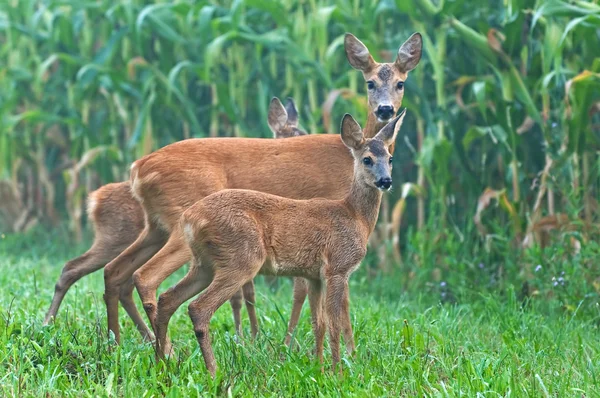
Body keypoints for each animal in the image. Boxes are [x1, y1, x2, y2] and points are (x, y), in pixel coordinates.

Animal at [42, 97, 304, 338]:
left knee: (108, 275)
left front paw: (250, 336)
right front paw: (251, 337)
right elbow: (246, 293)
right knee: (86, 269)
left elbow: (246, 293)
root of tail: (96, 199)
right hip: (121, 237)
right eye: (292, 135)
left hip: (147, 233)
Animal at [157, 110, 406, 374]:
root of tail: (189, 218)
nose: (386, 181)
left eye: (390, 158)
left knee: (167, 299)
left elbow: (319, 323)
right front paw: (337, 372)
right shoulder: (337, 267)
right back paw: (213, 371)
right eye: (367, 159)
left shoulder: (314, 275)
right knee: (198, 308)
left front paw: (318, 367)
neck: (355, 216)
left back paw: (161, 362)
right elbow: (334, 324)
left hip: (204, 263)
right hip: (241, 258)